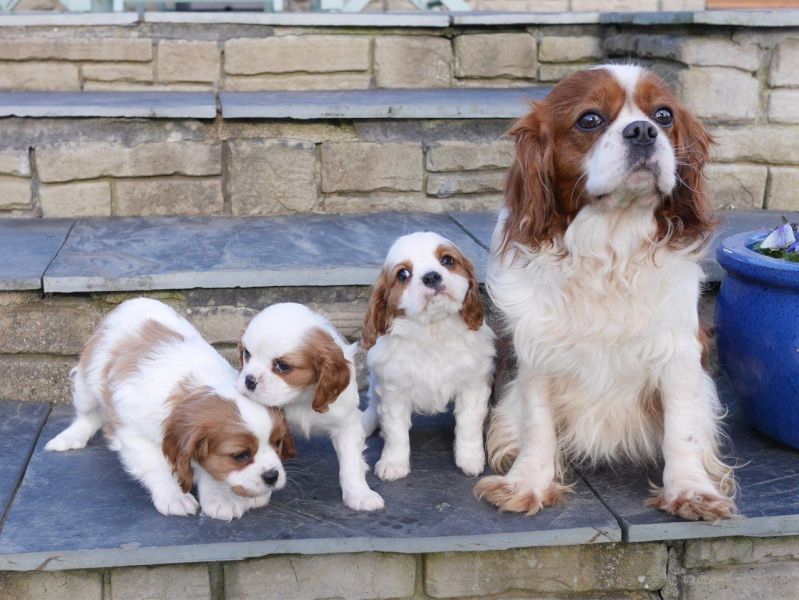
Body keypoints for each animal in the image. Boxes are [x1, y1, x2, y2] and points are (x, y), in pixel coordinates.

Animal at [45, 298, 294, 520]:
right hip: (86, 383)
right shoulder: (132, 431)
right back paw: (69, 438)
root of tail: (133, 301)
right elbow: (156, 465)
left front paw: (220, 497)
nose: (272, 476)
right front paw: (174, 497)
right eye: (240, 455)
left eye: (277, 444)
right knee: (87, 415)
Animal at [236, 302, 386, 512]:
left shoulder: (347, 425)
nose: (249, 380)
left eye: (282, 366)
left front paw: (359, 494)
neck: (300, 397)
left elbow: (350, 464)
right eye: (247, 354)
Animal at [364, 232, 500, 480]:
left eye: (447, 260)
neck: (433, 330)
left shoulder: (473, 384)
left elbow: (468, 424)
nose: (431, 277)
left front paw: (470, 459)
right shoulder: (393, 390)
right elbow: (395, 432)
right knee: (372, 401)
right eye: (403, 274)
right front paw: (393, 464)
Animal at [476, 62, 736, 520]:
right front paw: (529, 482)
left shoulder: (678, 352)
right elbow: (537, 424)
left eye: (664, 115)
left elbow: (682, 429)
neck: (611, 245)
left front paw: (690, 489)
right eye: (590, 119)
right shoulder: (537, 349)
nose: (643, 131)